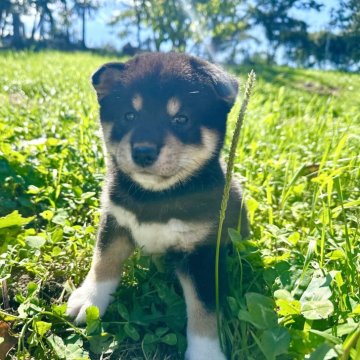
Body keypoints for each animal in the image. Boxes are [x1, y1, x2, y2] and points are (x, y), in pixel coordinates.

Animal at [66, 52, 249, 360]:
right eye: (129, 115)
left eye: (181, 119)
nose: (143, 151)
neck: (156, 196)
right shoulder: (115, 220)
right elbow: (103, 261)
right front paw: (89, 300)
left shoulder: (202, 254)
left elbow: (204, 309)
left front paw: (205, 351)